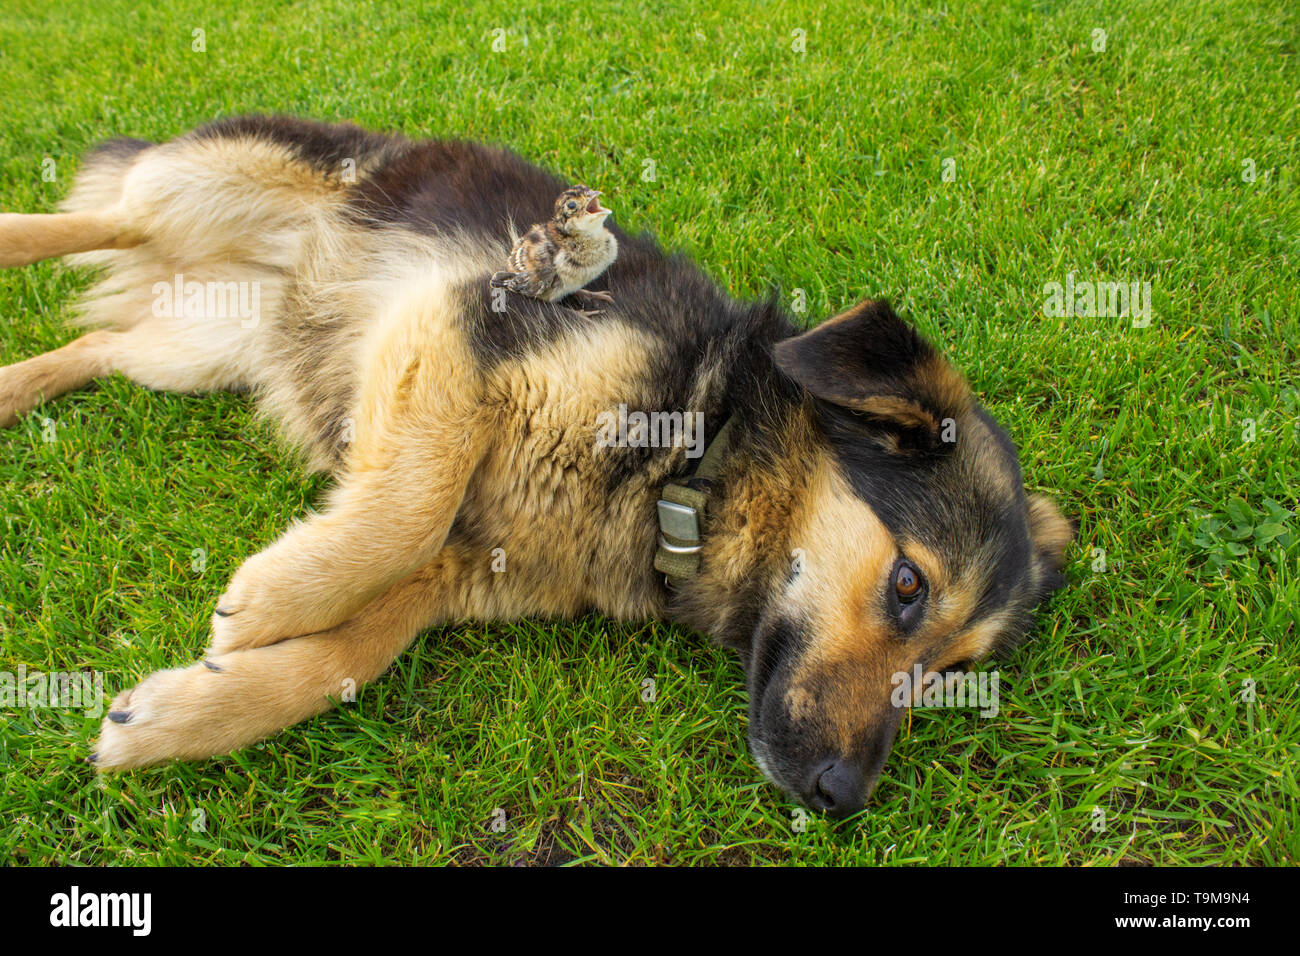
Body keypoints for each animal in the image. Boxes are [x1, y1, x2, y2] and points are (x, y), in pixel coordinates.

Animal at [0, 115, 1071, 816]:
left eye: (950, 675)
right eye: (906, 586)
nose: (841, 797)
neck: (694, 453)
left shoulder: (461, 567)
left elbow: (353, 653)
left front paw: (186, 711)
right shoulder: (465, 331)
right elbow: (404, 512)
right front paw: (273, 599)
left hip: (203, 348)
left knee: (100, 346)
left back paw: (13, 387)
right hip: (218, 191)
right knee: (100, 220)